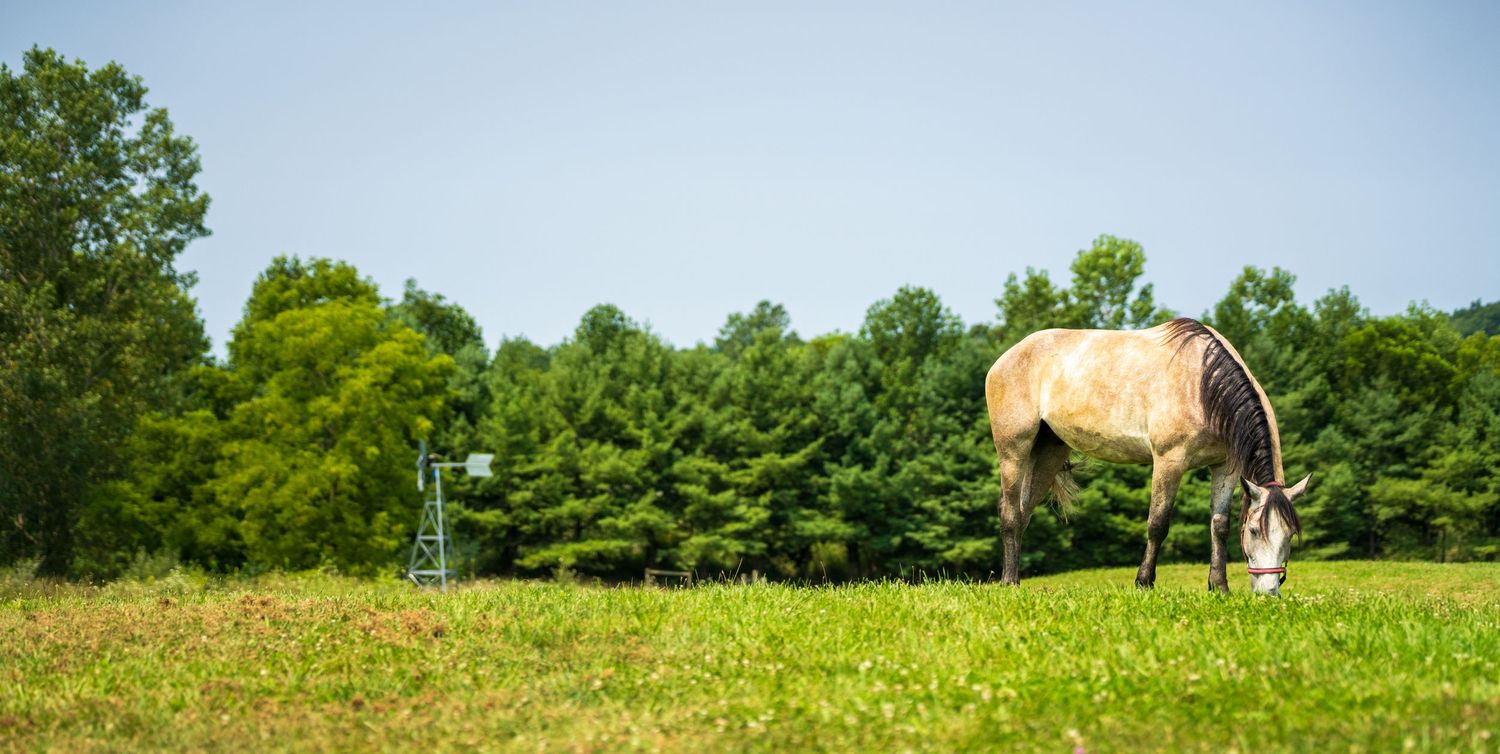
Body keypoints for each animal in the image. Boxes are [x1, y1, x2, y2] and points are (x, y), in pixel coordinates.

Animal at [984, 318, 1311, 595]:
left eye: (1290, 534)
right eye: (1254, 531)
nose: (1269, 592)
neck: (1204, 386)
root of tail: (1007, 357)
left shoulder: (1226, 467)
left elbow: (1219, 525)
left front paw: (1219, 587)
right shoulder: (1169, 461)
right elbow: (1158, 524)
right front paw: (1144, 582)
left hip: (1049, 452)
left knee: (1024, 511)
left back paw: (1015, 577)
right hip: (1013, 450)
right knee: (1010, 512)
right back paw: (1009, 582)